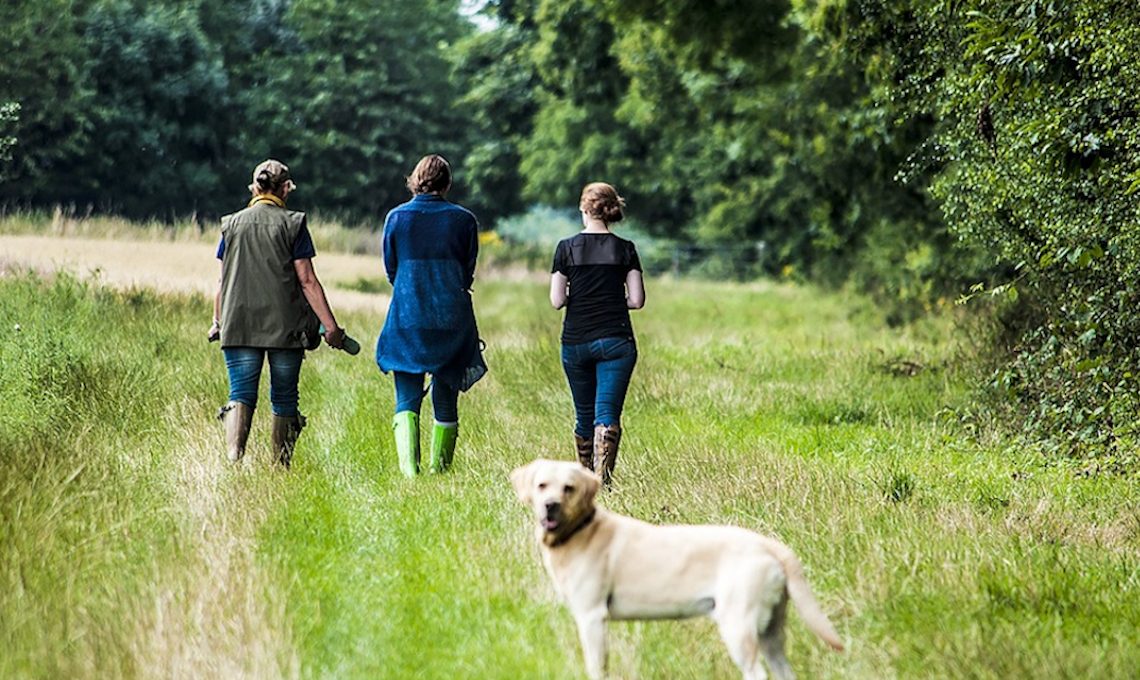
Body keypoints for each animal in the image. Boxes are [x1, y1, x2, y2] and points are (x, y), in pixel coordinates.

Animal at [513, 458, 843, 675]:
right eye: (542, 485)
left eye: (568, 488)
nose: (550, 505)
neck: (581, 530)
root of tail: (770, 545)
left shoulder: (592, 617)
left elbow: (597, 668)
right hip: (771, 632)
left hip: (739, 627)